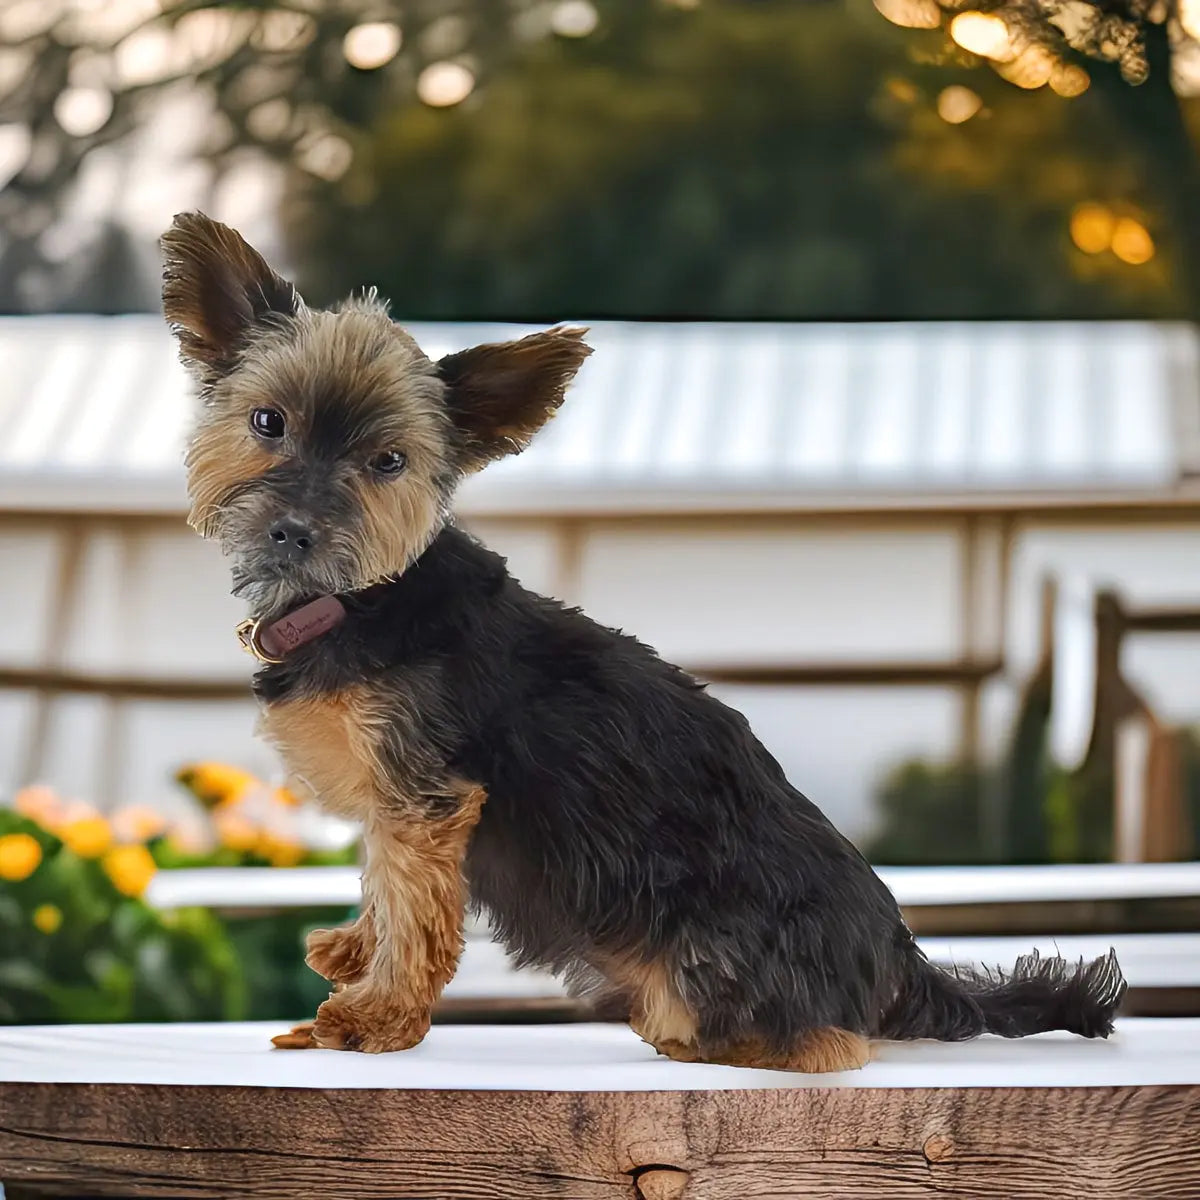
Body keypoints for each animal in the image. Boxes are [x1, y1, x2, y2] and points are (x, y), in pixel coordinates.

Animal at [162, 216, 1123, 1070]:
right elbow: (390, 885)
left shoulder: (426, 794)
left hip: (717, 956)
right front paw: (356, 951)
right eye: (267, 423)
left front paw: (374, 1017)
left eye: (387, 464)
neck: (360, 600)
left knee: (822, 1044)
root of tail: (899, 962)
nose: (295, 531)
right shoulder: (402, 801)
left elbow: (416, 910)